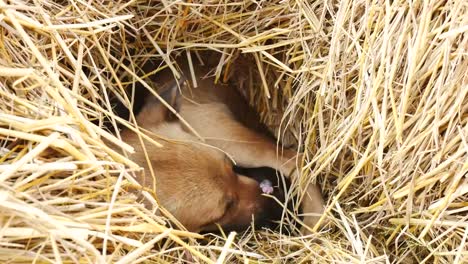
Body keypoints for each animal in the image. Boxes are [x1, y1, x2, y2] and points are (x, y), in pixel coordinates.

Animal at [114, 58, 326, 232]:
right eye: (224, 210)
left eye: (230, 167)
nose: (279, 201)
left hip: (225, 139)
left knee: (293, 160)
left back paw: (314, 220)